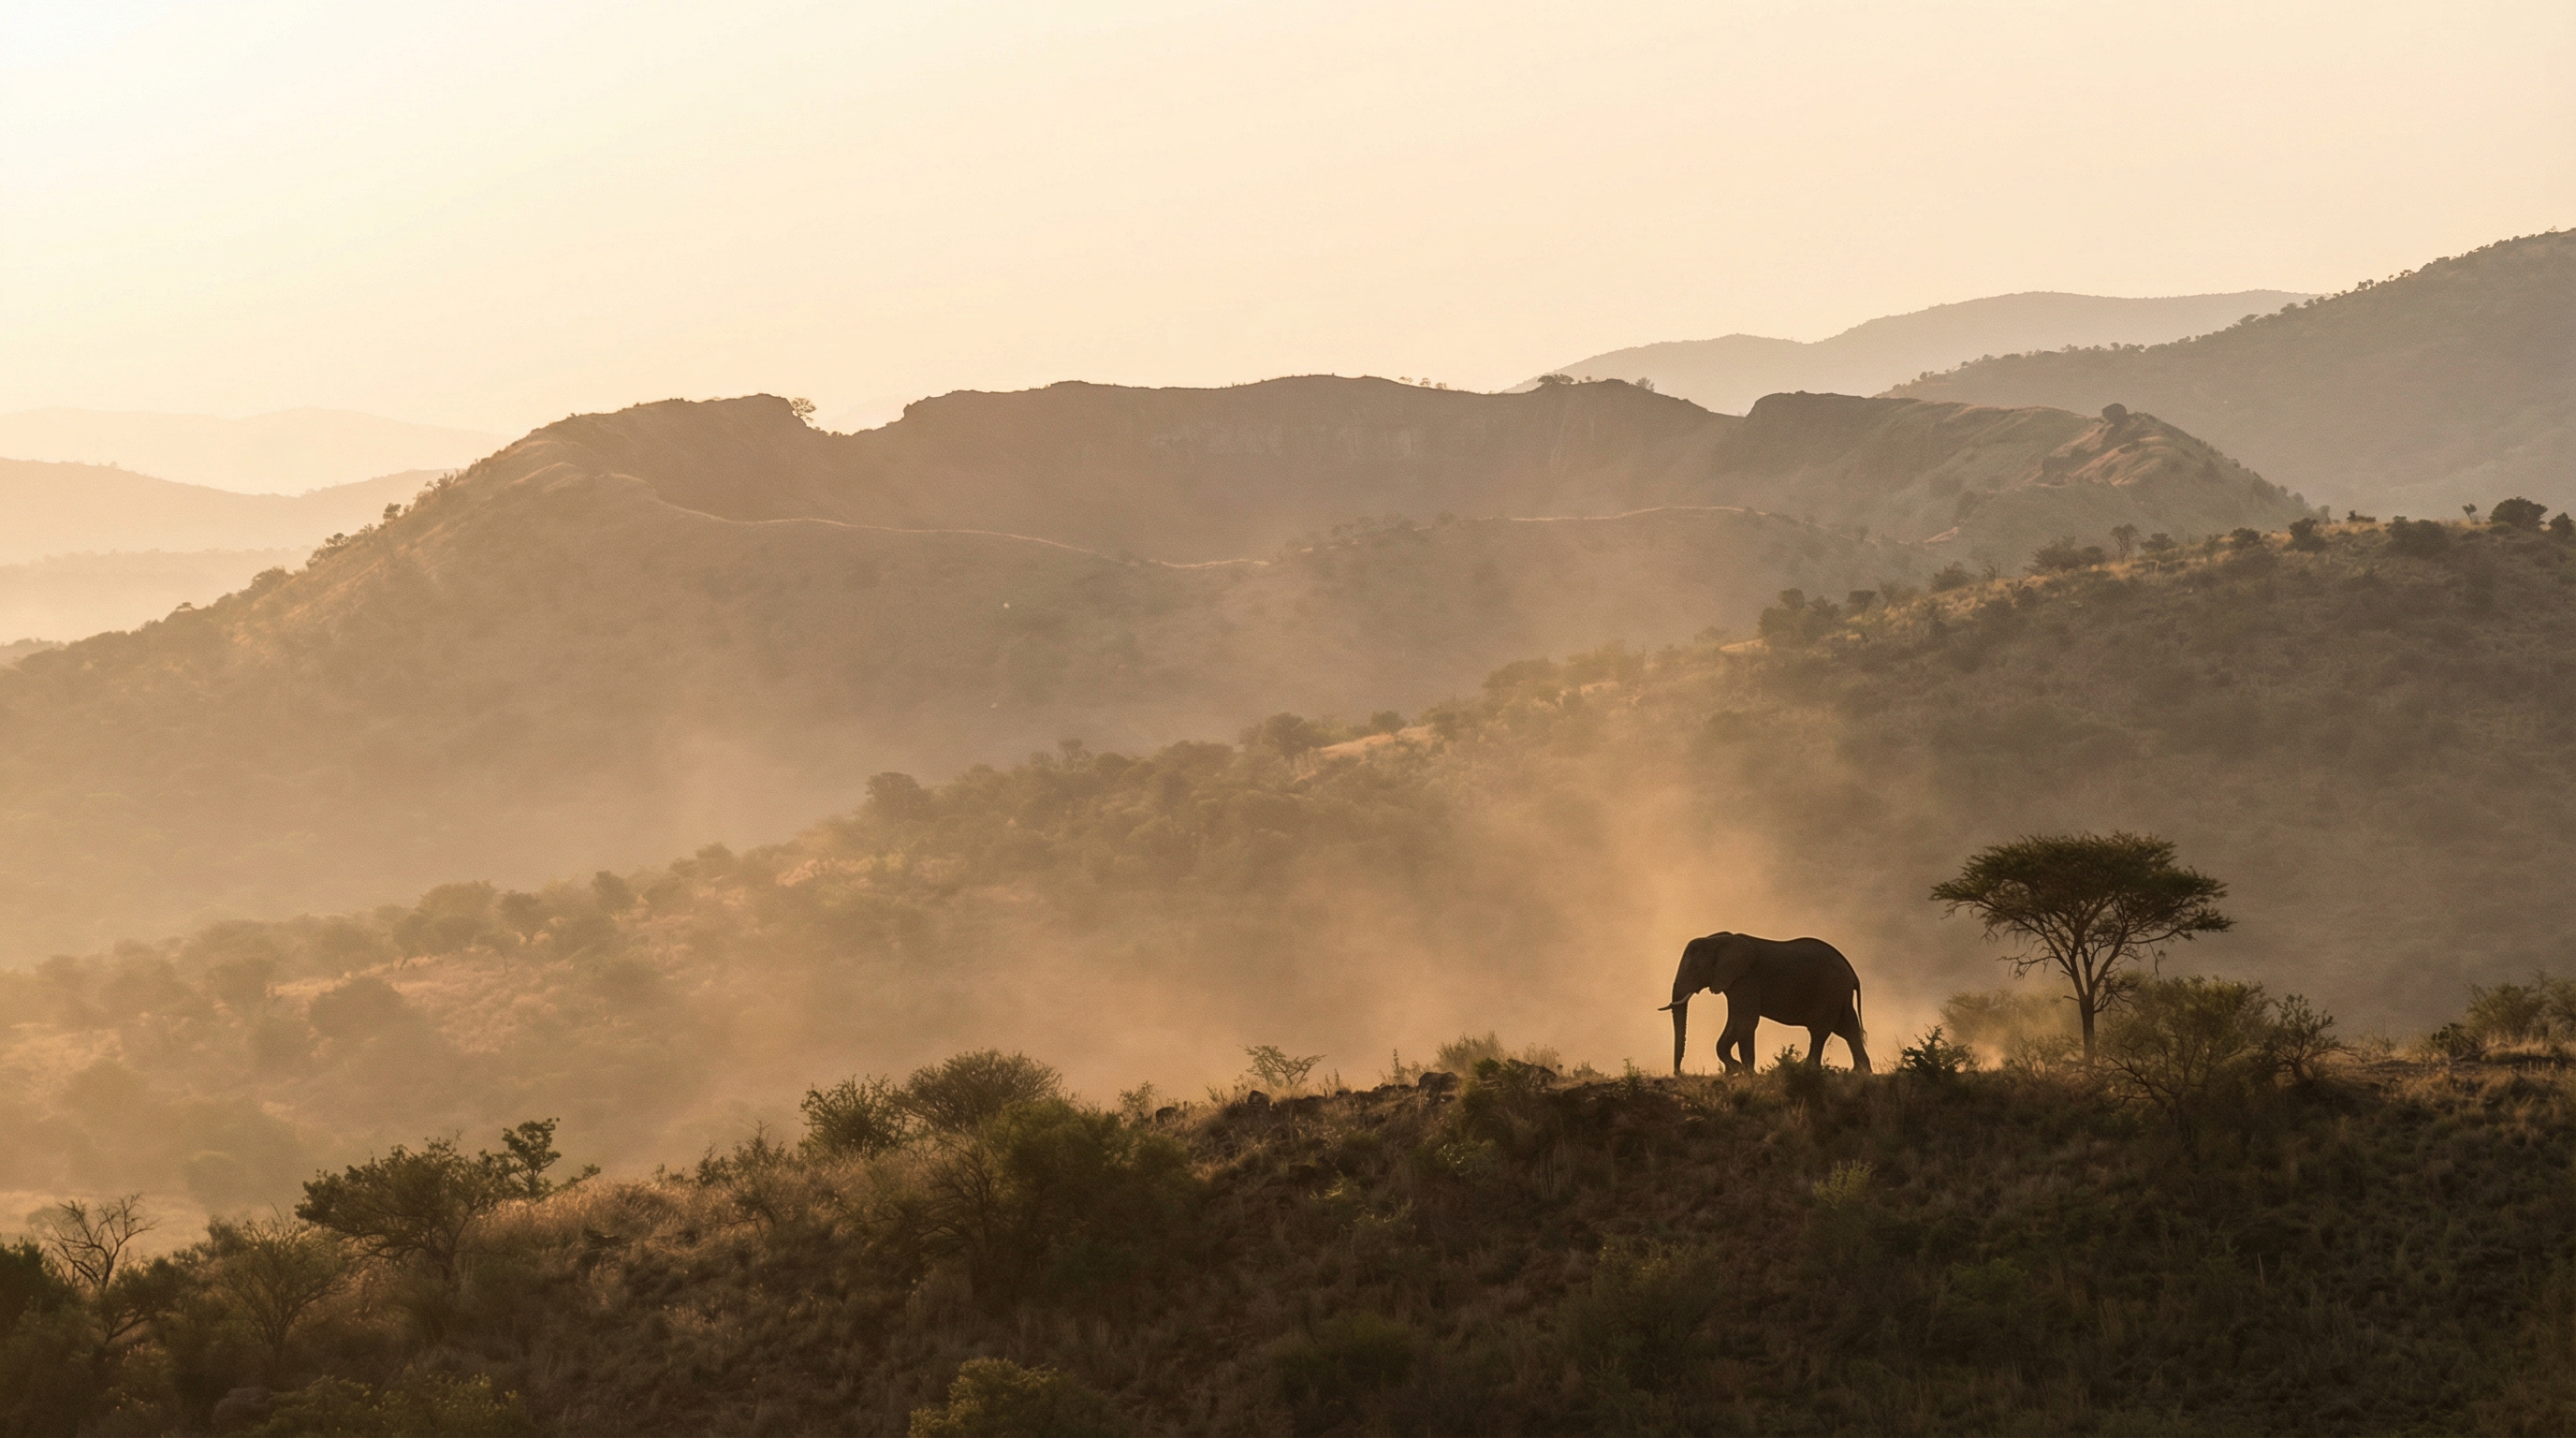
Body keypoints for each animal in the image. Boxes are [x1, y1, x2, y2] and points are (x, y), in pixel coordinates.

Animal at [1660, 931, 1869, 1076]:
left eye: (1696, 967)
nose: (1678, 1073)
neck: (1719, 939)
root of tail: (1852, 973)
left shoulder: (1747, 978)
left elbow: (1746, 1021)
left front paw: (1740, 1070)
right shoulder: (1736, 981)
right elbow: (1739, 1021)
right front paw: (1740, 1073)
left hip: (1830, 990)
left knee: (1820, 1030)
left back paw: (1809, 1070)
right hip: (1839, 995)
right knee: (1848, 1029)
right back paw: (1861, 1073)